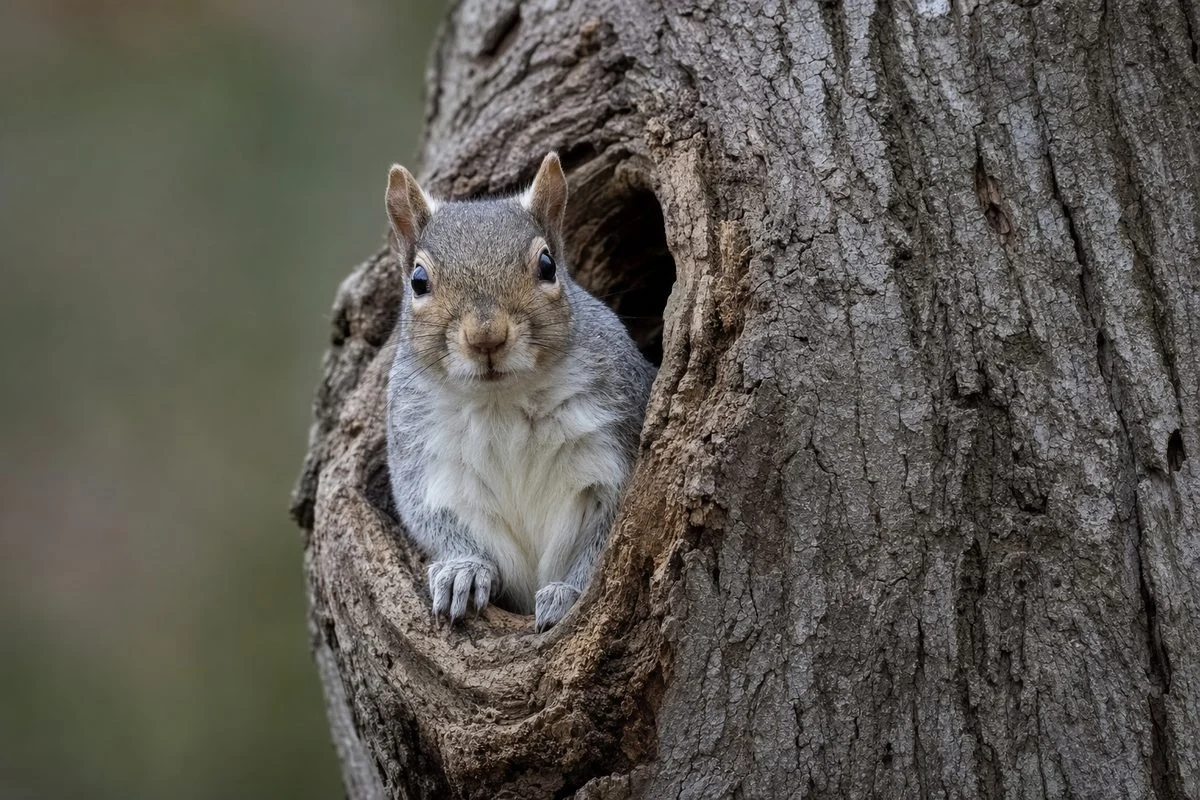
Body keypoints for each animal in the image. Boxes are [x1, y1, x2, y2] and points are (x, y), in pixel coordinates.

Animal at [383, 153, 656, 632]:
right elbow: (431, 520)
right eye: (418, 280)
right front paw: (463, 570)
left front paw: (568, 595)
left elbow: (607, 541)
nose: (486, 336)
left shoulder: (615, 450)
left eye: (547, 265)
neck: (501, 401)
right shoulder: (422, 460)